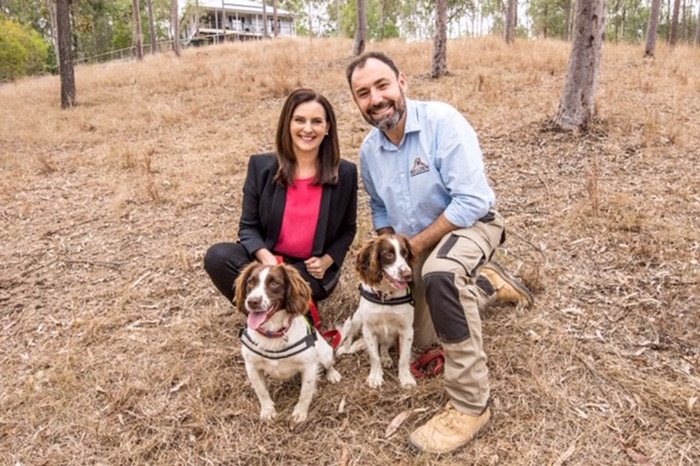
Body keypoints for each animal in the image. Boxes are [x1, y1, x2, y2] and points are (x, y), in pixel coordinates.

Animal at [235, 262, 342, 422]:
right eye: (250, 282)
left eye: (274, 283)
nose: (252, 301)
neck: (273, 333)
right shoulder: (252, 366)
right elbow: (261, 391)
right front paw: (268, 411)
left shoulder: (309, 366)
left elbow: (305, 393)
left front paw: (300, 413)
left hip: (325, 353)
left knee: (329, 365)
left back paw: (333, 375)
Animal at [338, 233, 418, 390]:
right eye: (389, 255)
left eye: (405, 254)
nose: (408, 275)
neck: (385, 296)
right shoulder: (368, 329)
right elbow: (374, 357)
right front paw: (375, 377)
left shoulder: (406, 329)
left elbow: (404, 358)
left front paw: (406, 378)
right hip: (357, 320)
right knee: (350, 336)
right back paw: (344, 348)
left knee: (384, 346)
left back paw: (386, 358)